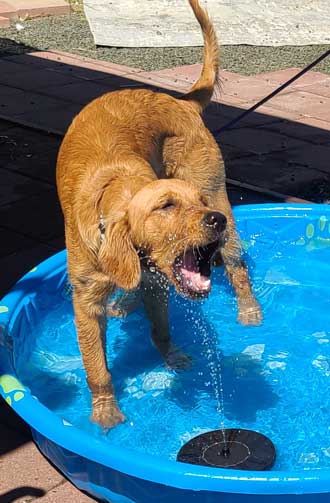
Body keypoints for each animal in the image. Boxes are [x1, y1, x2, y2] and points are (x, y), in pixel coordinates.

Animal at [57, 0, 262, 430]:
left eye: (197, 202)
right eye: (166, 206)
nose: (213, 220)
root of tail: (181, 101)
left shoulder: (158, 283)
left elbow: (162, 329)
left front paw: (172, 357)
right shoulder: (87, 301)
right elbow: (97, 368)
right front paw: (106, 411)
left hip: (222, 203)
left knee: (237, 267)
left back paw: (250, 311)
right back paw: (126, 302)